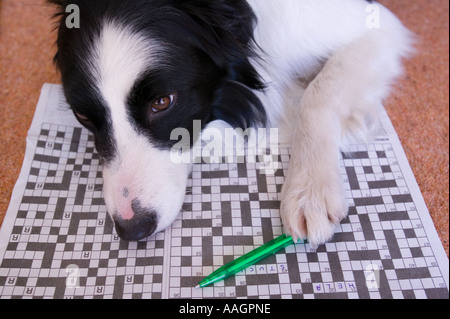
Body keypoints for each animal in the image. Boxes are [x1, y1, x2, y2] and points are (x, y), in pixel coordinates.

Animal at [47, 0, 414, 246]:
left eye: (162, 102)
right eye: (83, 116)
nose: (131, 230)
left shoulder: (375, 25)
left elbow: (318, 92)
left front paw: (310, 190)